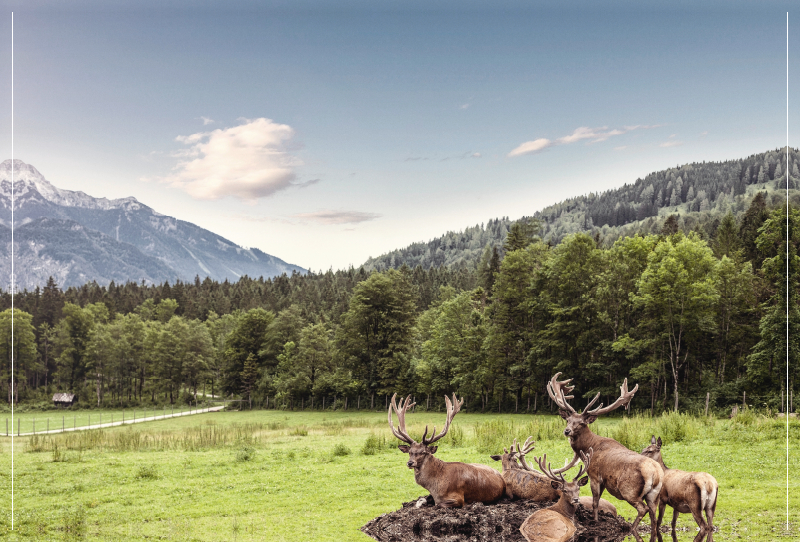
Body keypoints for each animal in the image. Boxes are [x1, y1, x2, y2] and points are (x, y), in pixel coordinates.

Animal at [548, 376, 664, 536]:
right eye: (568, 420)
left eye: (581, 423)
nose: (567, 431)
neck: (590, 447)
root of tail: (656, 472)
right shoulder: (603, 481)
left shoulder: (594, 475)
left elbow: (595, 502)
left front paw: (595, 522)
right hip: (654, 494)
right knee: (653, 513)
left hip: (629, 490)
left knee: (643, 509)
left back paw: (631, 528)